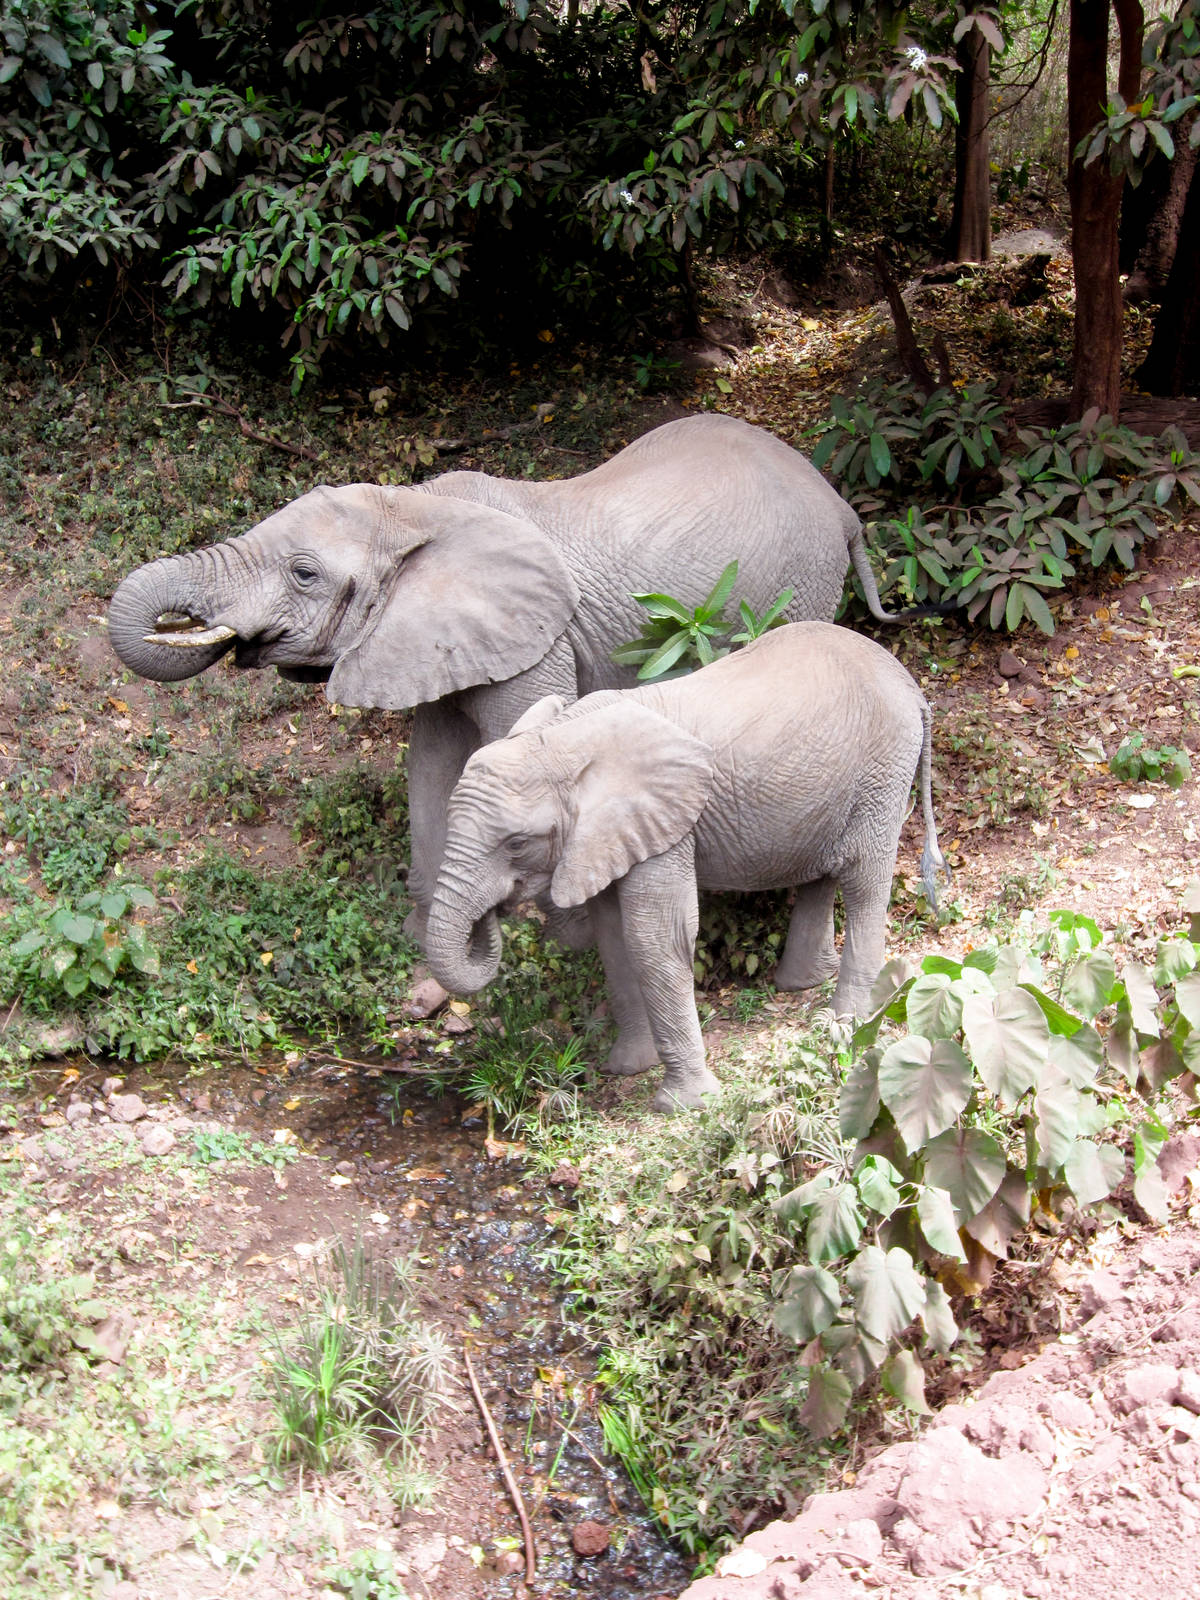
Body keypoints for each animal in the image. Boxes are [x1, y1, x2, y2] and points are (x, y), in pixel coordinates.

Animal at [106, 413, 914, 943]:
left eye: (304, 574)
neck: (416, 506)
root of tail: (839, 501)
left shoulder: (536, 644)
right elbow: (431, 763)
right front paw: (426, 951)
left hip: (797, 585)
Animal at [423, 621, 946, 1112]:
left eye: (516, 843)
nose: (496, 913)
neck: (562, 739)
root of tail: (909, 683)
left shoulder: (666, 826)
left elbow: (656, 935)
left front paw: (686, 1103)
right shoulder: (607, 837)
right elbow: (613, 935)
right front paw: (629, 1067)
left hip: (883, 769)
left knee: (862, 879)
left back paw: (847, 1023)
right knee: (825, 871)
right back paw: (805, 983)